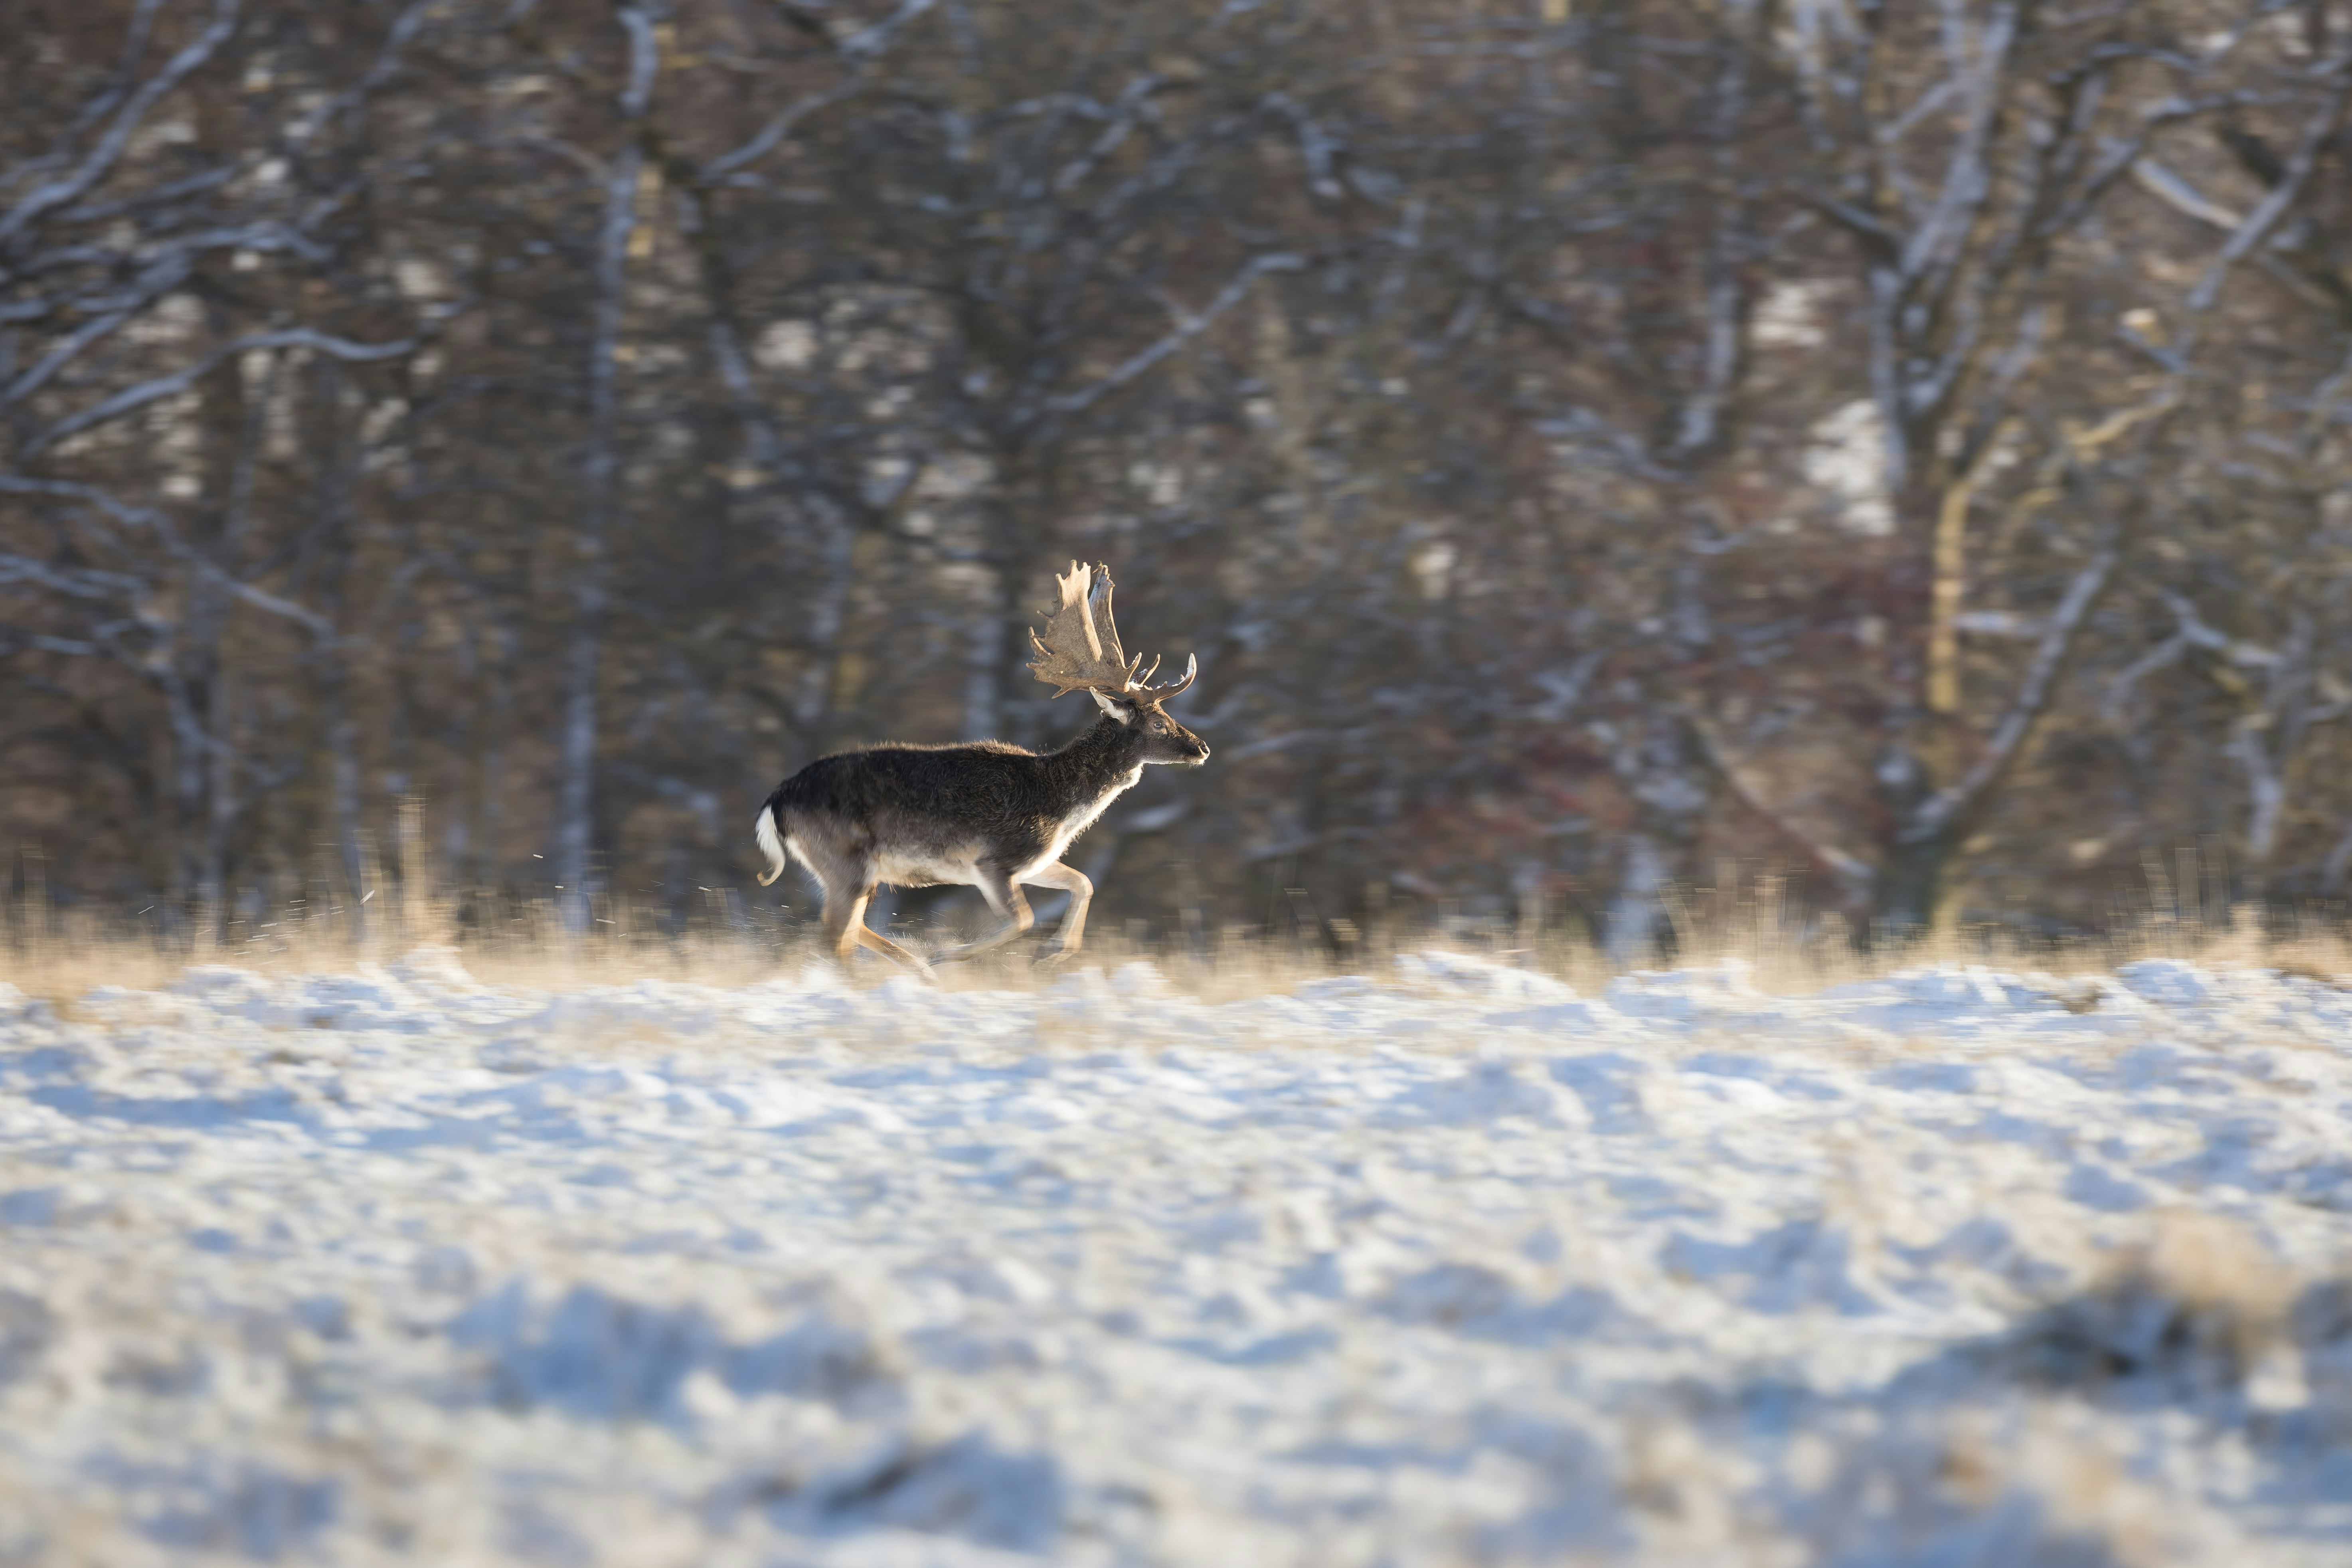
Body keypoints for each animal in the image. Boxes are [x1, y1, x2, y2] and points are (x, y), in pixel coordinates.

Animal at [752, 562, 1209, 974]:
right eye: (1158, 722)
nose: (1202, 748)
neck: (1060, 807)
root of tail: (774, 802)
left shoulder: (1037, 861)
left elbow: (1084, 882)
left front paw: (1054, 952)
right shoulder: (992, 860)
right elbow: (1023, 918)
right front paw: (948, 955)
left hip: (845, 868)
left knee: (848, 927)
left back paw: (916, 969)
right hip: (844, 857)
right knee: (835, 933)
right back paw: (896, 977)